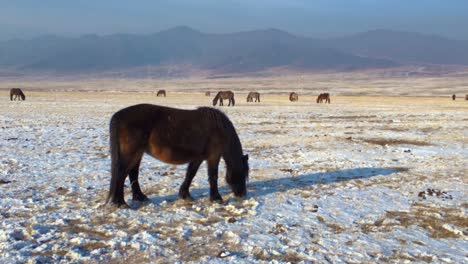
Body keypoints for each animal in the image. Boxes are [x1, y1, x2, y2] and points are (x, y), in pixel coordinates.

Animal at [106, 104, 249, 207]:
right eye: (243, 173)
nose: (242, 194)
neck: (219, 129)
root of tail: (118, 116)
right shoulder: (213, 156)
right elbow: (213, 176)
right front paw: (216, 198)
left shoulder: (198, 158)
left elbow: (190, 174)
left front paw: (185, 195)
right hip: (131, 154)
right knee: (121, 174)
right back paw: (120, 202)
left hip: (137, 153)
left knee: (132, 173)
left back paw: (140, 197)